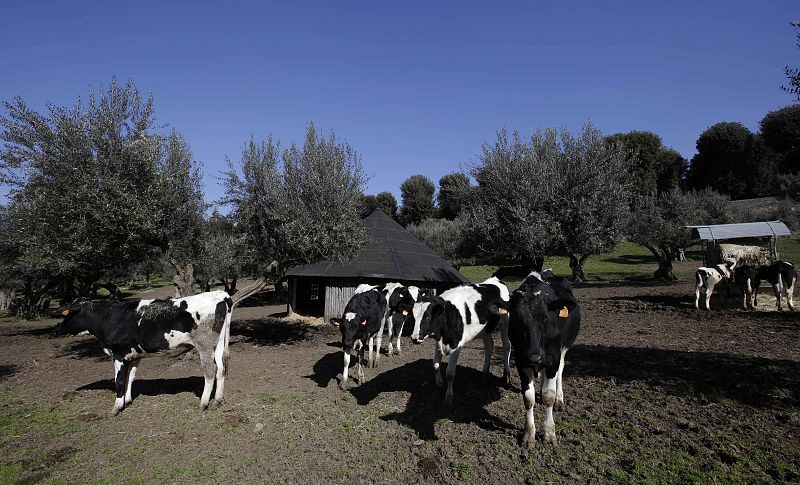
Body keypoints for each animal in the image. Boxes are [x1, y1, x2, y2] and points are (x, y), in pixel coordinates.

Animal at [54, 290, 231, 414]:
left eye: (68, 314)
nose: (57, 329)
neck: (109, 318)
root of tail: (220, 294)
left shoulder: (119, 354)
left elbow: (119, 380)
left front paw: (116, 407)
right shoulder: (133, 356)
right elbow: (130, 378)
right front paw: (127, 401)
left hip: (204, 345)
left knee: (210, 371)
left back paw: (203, 403)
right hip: (218, 345)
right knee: (221, 369)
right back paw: (218, 400)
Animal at [412, 276, 512, 404]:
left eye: (427, 316)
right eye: (413, 316)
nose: (414, 338)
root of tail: (495, 279)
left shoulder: (456, 344)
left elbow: (450, 373)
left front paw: (449, 397)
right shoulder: (439, 343)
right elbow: (435, 364)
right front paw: (439, 383)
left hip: (505, 323)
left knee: (506, 346)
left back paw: (506, 376)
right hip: (485, 330)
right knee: (489, 347)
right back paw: (484, 373)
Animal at [506, 268, 580, 446]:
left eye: (546, 317)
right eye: (517, 318)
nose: (534, 356)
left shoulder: (552, 360)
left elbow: (549, 396)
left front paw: (549, 433)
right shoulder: (521, 362)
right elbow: (528, 398)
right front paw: (529, 435)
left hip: (563, 349)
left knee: (560, 371)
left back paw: (560, 400)